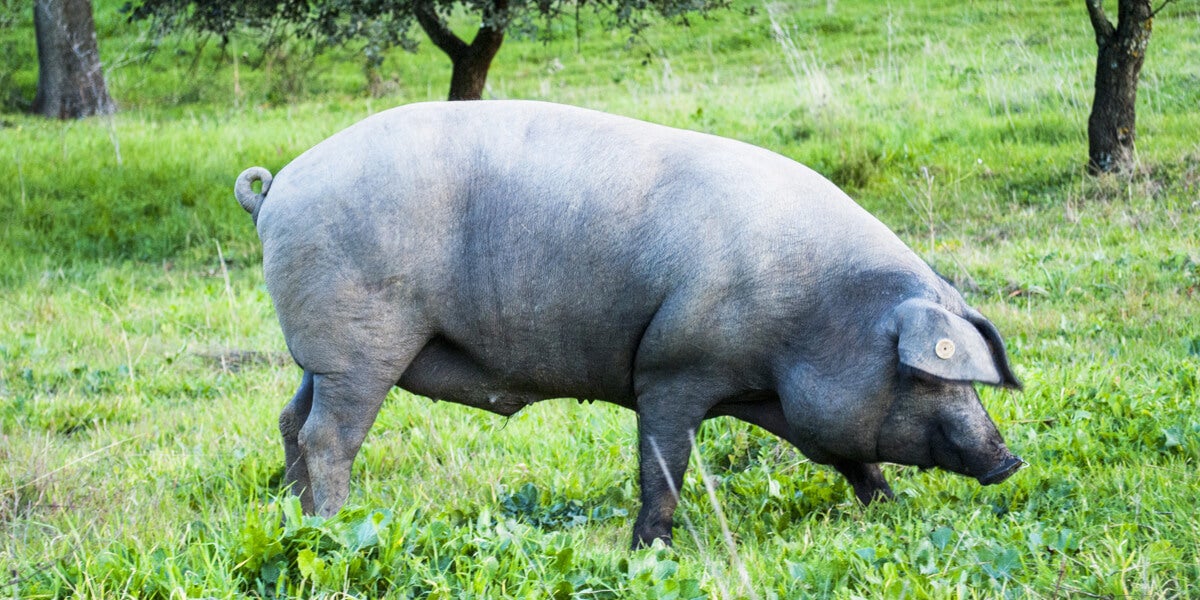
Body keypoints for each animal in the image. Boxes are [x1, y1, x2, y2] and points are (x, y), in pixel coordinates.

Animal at [234, 100, 1023, 548]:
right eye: (928, 376)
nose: (1008, 459)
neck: (810, 313)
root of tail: (279, 187)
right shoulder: (675, 367)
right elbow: (663, 463)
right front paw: (652, 550)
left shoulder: (780, 400)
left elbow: (848, 456)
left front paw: (889, 510)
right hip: (360, 346)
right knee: (328, 435)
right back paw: (334, 529)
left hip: (319, 353)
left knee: (289, 419)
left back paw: (295, 517)